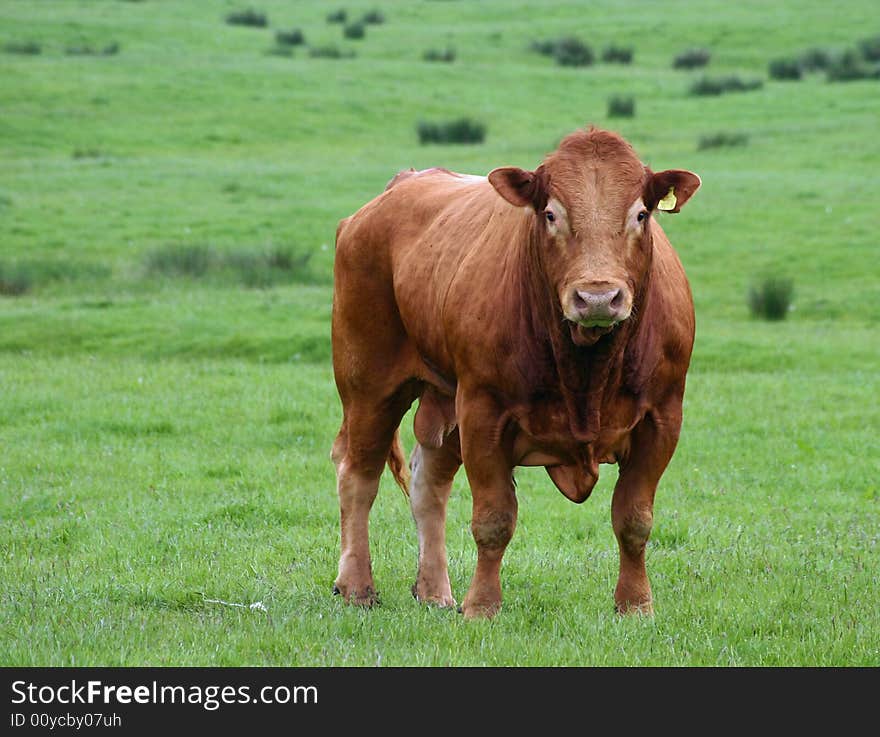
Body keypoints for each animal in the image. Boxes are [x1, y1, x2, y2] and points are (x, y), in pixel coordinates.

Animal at [330, 125, 700, 616]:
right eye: (550, 214)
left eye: (641, 214)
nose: (597, 298)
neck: (586, 369)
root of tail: (399, 187)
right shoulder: (483, 411)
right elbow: (494, 519)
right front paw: (482, 607)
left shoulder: (662, 417)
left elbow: (634, 519)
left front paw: (636, 605)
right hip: (369, 382)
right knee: (359, 474)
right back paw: (356, 586)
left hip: (442, 399)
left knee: (429, 483)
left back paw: (435, 591)